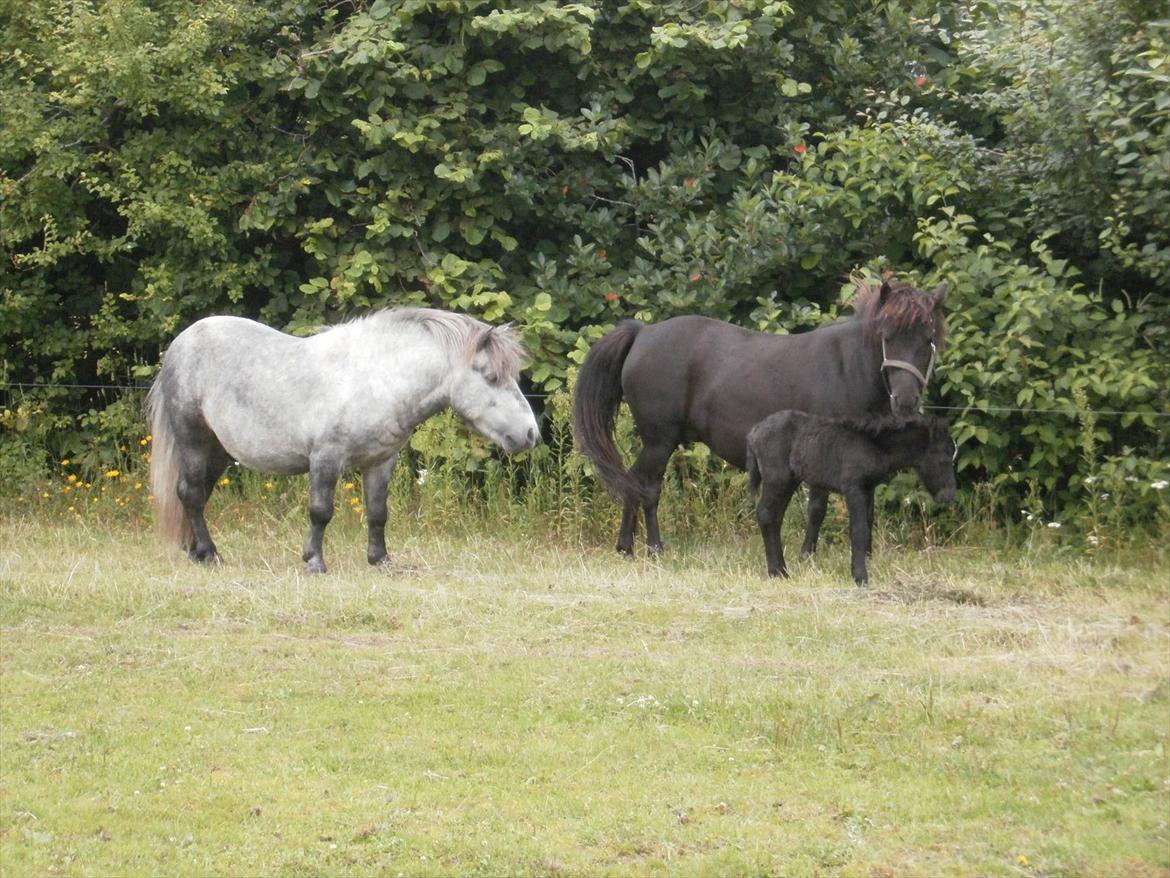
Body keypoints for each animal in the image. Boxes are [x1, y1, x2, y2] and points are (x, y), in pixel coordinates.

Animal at [570, 279, 945, 557]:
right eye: (887, 335)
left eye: (928, 338)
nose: (906, 399)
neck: (846, 368)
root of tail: (643, 333)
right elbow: (817, 506)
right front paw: (807, 555)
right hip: (659, 440)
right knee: (647, 487)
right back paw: (654, 547)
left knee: (633, 482)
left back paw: (626, 547)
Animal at [744, 412, 954, 585]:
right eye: (944, 458)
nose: (948, 496)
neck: (874, 445)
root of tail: (754, 432)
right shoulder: (854, 489)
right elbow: (859, 530)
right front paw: (860, 577)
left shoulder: (868, 489)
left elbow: (867, 525)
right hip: (778, 479)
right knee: (766, 515)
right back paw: (778, 571)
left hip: (789, 481)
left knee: (775, 518)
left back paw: (779, 569)